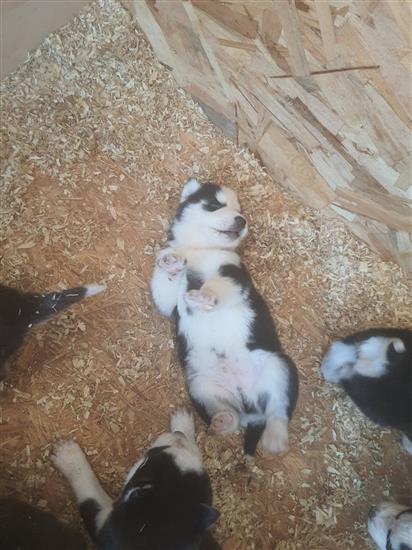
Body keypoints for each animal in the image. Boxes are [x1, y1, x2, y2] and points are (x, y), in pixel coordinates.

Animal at [52, 410, 220, 550]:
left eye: (145, 461)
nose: (178, 434)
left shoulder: (103, 521)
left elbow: (90, 491)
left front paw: (68, 454)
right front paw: (183, 423)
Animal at [150, 180, 298, 458]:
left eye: (240, 211)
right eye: (214, 205)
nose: (241, 220)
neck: (199, 251)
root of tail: (250, 405)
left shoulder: (233, 273)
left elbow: (217, 286)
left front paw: (204, 296)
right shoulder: (167, 302)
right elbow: (168, 280)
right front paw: (171, 263)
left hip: (279, 366)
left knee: (278, 411)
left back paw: (274, 439)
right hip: (201, 385)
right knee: (232, 418)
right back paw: (223, 420)